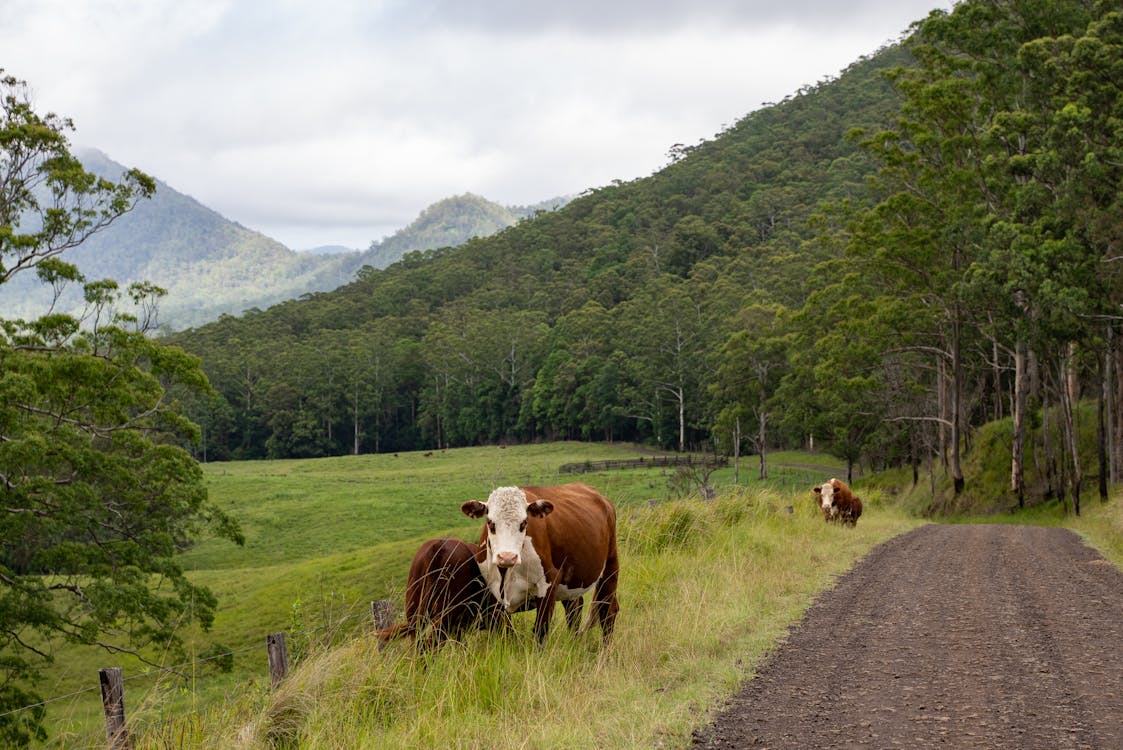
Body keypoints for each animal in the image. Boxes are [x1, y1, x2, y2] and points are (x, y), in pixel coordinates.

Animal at [458, 482, 624, 642]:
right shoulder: (494, 598)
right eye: (490, 522)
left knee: (608, 611)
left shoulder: (549, 583)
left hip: (610, 568)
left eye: (524, 522)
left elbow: (540, 631)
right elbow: (506, 632)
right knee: (575, 609)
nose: (507, 557)